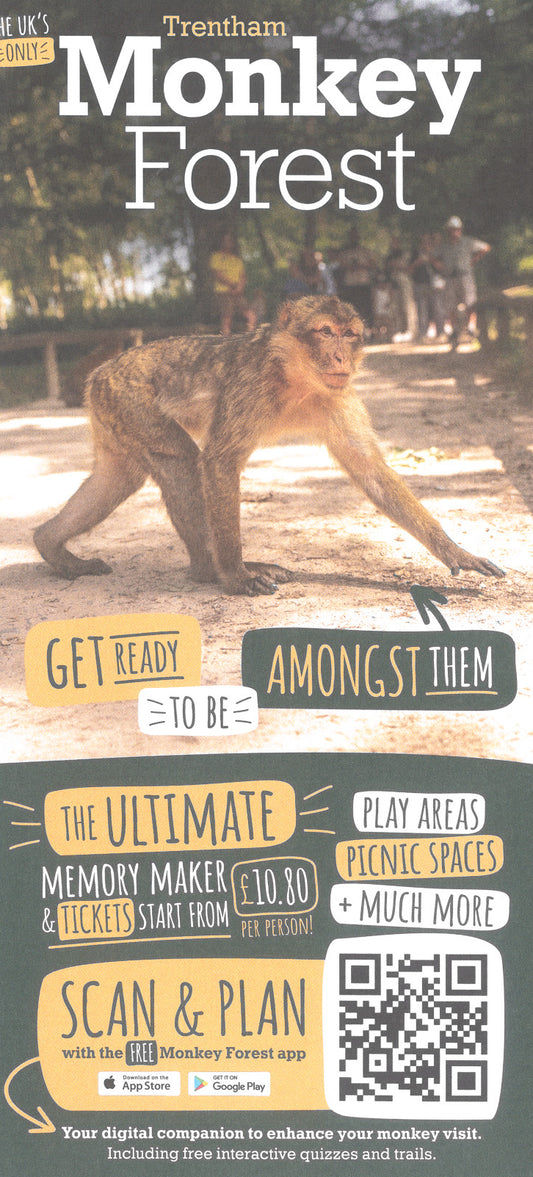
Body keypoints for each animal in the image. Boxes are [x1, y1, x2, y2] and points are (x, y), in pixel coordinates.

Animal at [33, 295, 504, 595]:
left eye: (349, 334)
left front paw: (452, 549)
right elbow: (219, 462)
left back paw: (49, 544)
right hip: (128, 400)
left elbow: (369, 469)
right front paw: (235, 575)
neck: (296, 377)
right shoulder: (252, 383)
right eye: (325, 332)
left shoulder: (338, 396)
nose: (341, 357)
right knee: (180, 461)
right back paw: (210, 571)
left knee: (117, 478)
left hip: (112, 417)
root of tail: (100, 372)